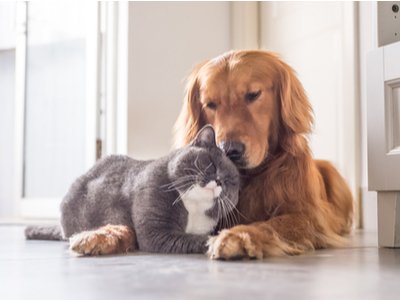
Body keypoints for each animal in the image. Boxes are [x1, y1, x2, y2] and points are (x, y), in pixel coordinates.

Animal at [25, 125, 241, 254]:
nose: (219, 181)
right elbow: (195, 239)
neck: (193, 208)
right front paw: (218, 241)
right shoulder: (155, 233)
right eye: (211, 163)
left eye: (230, 181)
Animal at [173, 50, 352, 258]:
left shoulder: (308, 216)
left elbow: (271, 224)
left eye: (253, 95)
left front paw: (237, 235)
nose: (229, 150)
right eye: (210, 104)